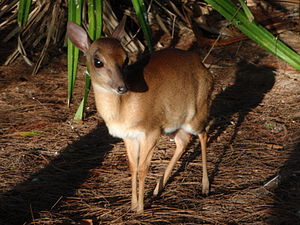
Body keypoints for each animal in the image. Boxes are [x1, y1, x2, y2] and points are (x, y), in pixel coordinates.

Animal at [67, 18, 213, 213]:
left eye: (126, 58)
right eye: (97, 62)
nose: (122, 87)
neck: (123, 108)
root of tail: (204, 68)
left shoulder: (151, 131)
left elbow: (143, 168)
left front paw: (141, 209)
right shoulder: (129, 136)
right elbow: (133, 167)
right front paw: (133, 204)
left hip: (196, 113)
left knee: (204, 134)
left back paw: (205, 187)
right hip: (172, 123)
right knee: (183, 141)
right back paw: (157, 189)